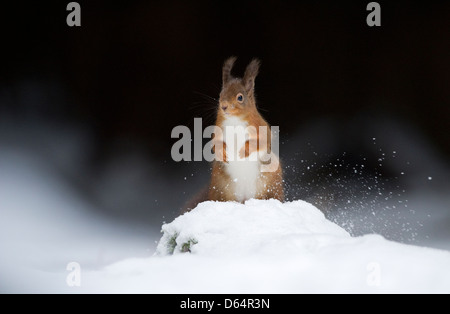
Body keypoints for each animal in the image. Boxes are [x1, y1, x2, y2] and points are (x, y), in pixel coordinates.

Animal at [208, 55, 284, 204]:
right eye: (221, 94)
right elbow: (215, 144)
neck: (234, 121)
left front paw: (244, 151)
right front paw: (222, 153)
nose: (223, 106)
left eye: (240, 97)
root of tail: (245, 198)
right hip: (219, 187)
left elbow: (261, 141)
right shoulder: (219, 131)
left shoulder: (260, 128)